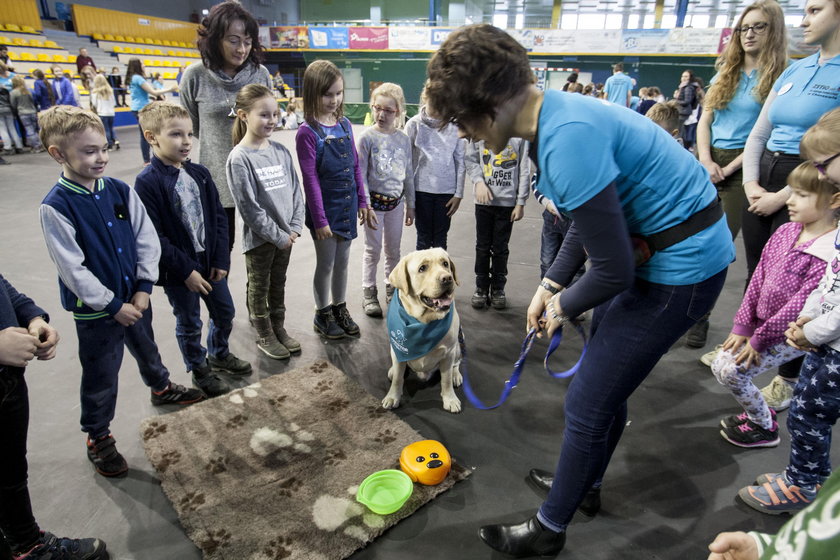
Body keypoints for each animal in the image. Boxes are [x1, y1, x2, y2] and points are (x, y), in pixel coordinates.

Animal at [382, 248, 462, 412]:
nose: (448, 278)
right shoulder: (398, 350)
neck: (423, 321)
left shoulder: (449, 352)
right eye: (422, 268)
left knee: (457, 364)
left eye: (445, 264)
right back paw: (392, 370)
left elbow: (446, 379)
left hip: (457, 346)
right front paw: (393, 396)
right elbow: (398, 378)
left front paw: (450, 399)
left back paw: (456, 375)